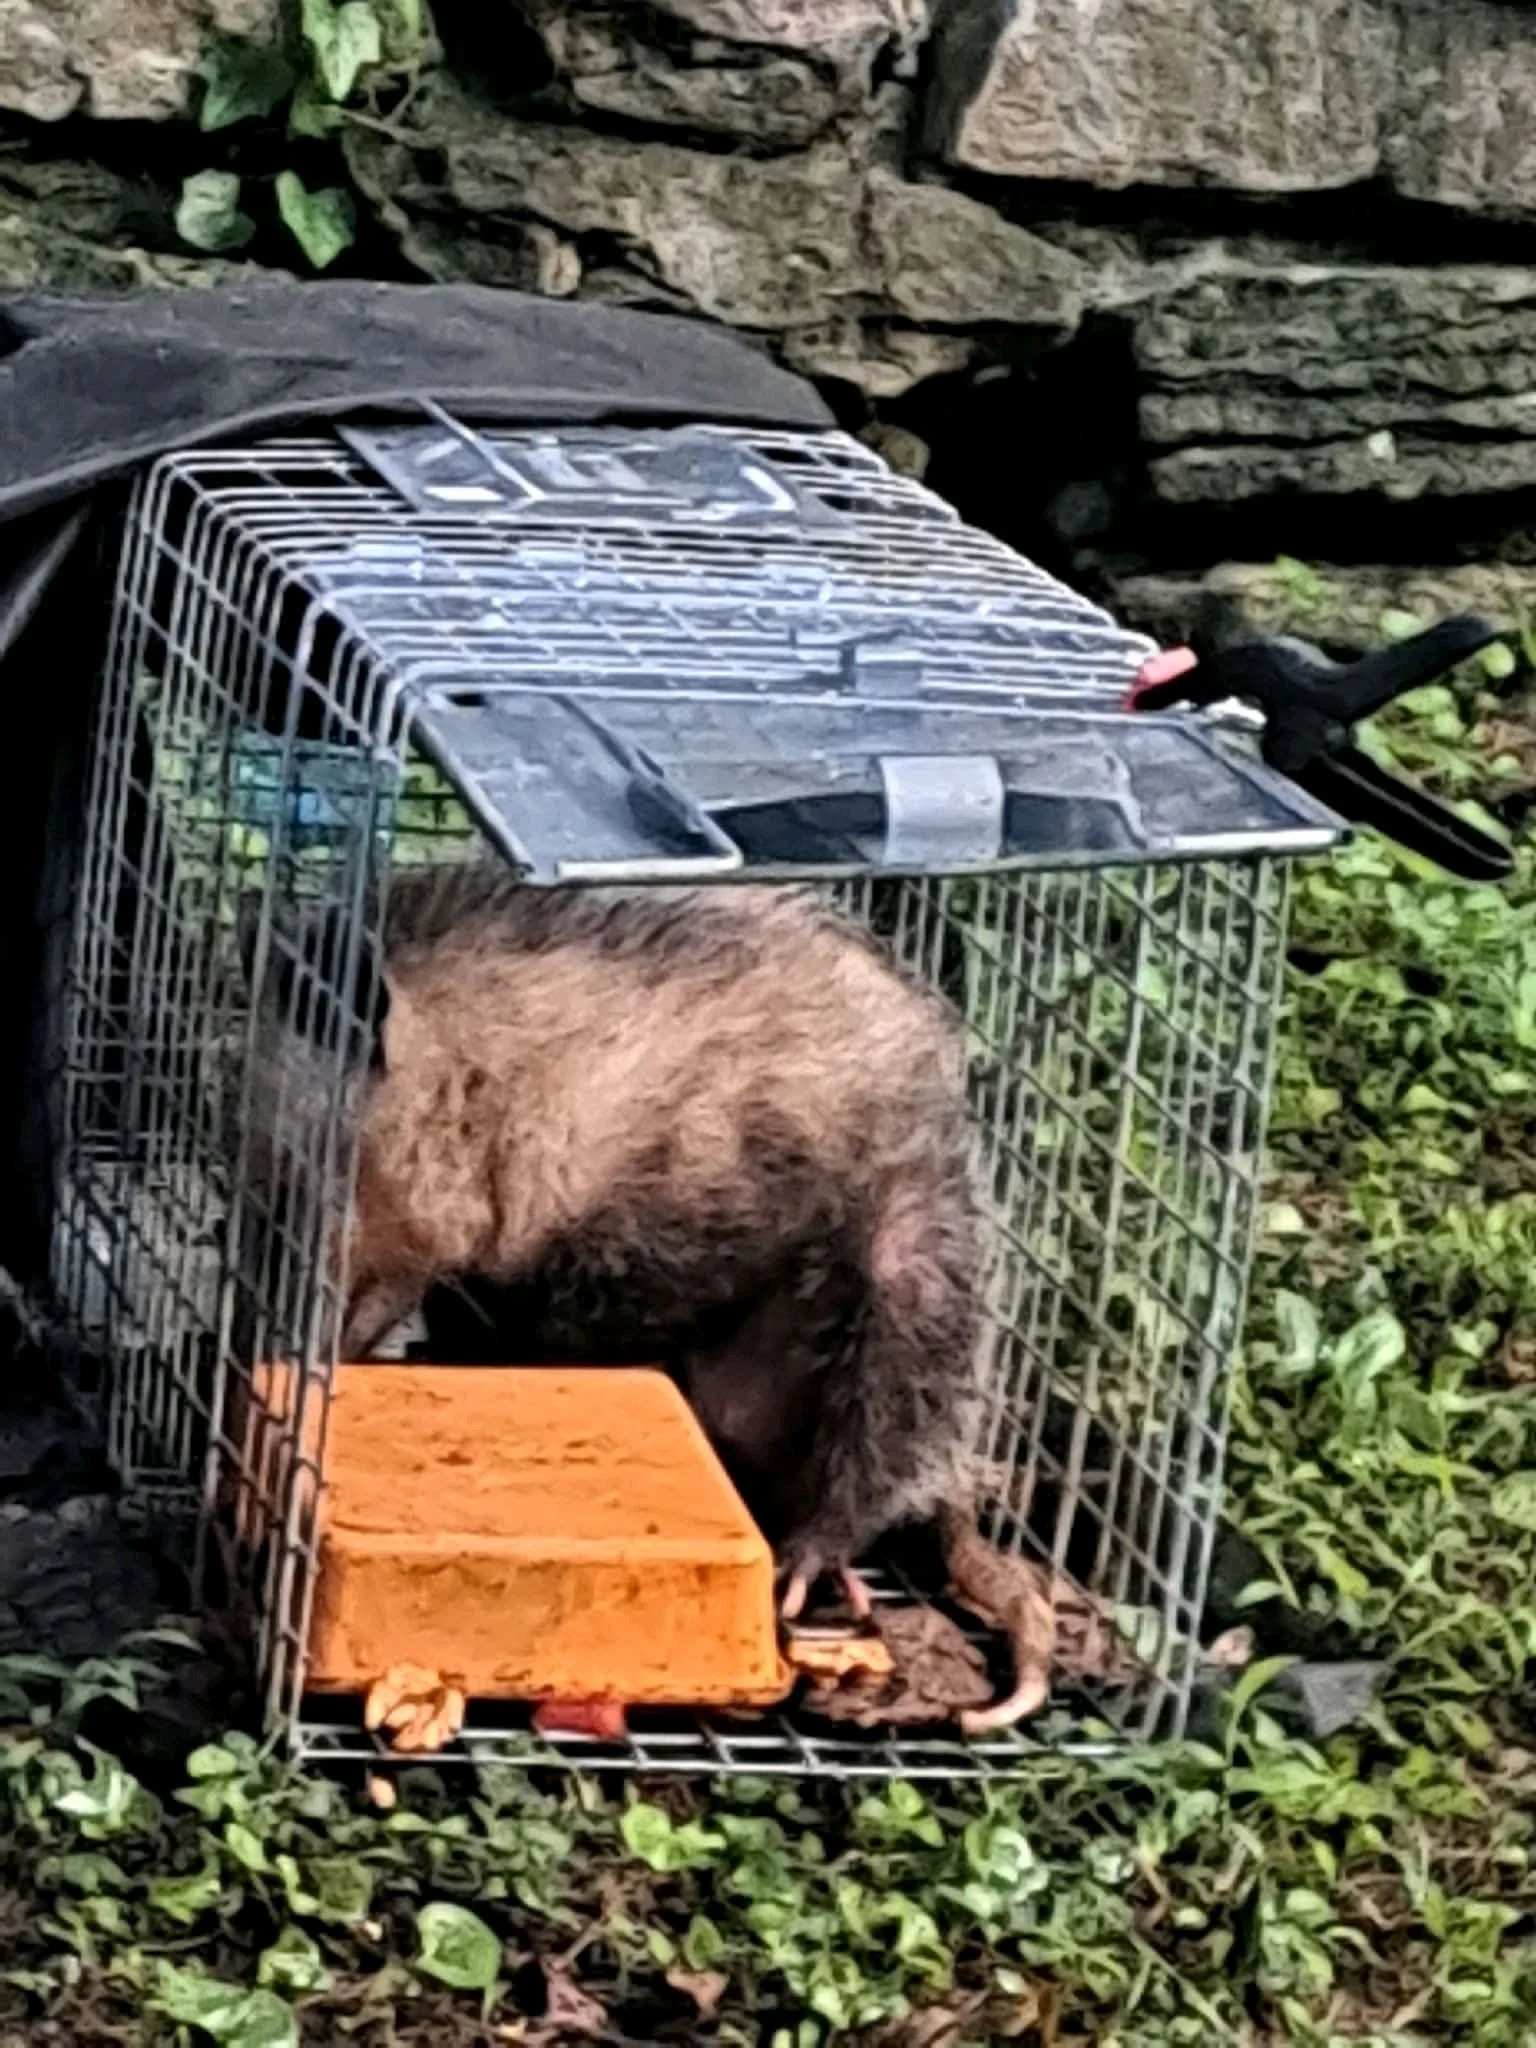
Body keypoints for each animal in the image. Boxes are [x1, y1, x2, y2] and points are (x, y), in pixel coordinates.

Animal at [237, 864, 981, 1615]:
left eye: (293, 1191)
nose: (259, 1372)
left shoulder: (688, 1192)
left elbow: (589, 1326)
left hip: (915, 1238)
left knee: (894, 1392)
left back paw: (816, 1549)